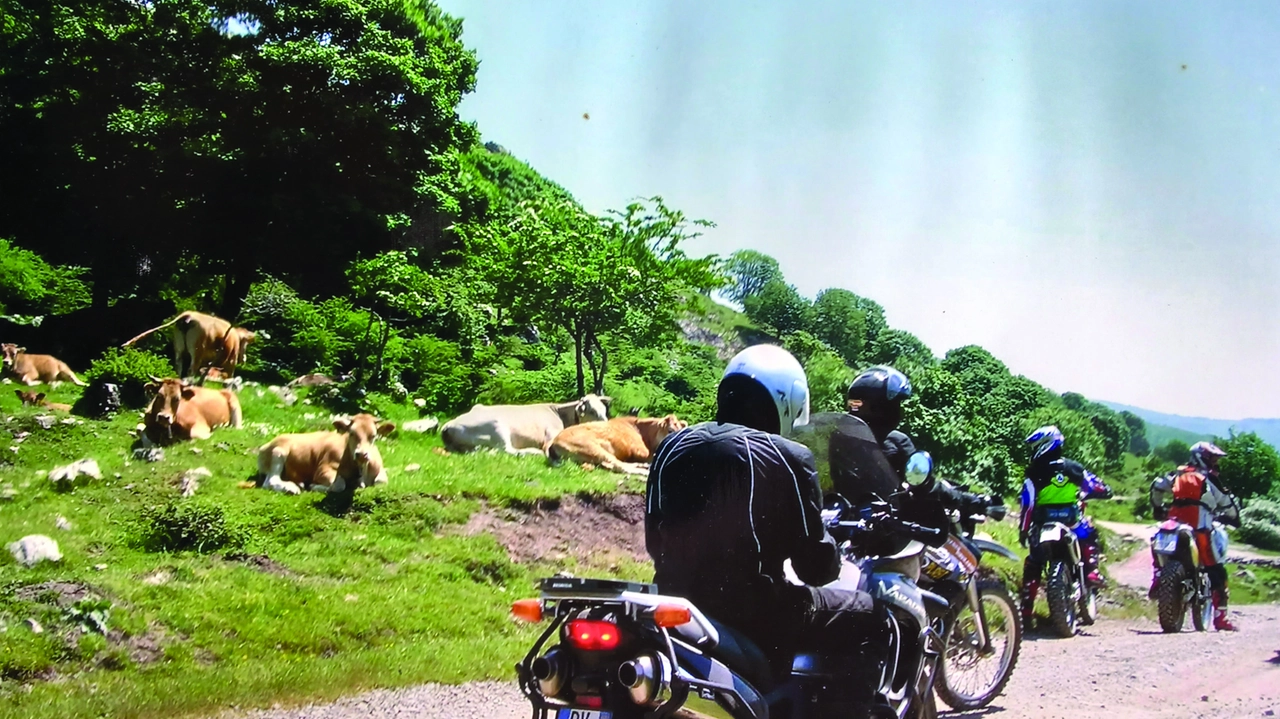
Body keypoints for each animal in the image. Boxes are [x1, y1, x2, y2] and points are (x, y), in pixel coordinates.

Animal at [122, 309, 257, 378]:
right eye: (245, 344)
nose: (244, 358)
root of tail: (189, 314)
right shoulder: (230, 364)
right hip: (197, 352)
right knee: (190, 370)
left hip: (179, 349)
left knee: (179, 367)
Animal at [249, 411, 389, 496]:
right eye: (351, 433)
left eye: (373, 435)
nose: (361, 454)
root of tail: (266, 445)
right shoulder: (323, 469)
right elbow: (339, 485)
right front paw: (314, 486)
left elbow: (381, 481)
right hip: (279, 452)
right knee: (270, 481)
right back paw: (291, 488)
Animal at [437, 391, 611, 452]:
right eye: (592, 411)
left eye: (604, 410)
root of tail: (448, 425)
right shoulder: (551, 435)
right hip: (496, 426)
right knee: (508, 450)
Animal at [547, 411, 691, 473]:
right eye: (670, 430)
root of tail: (554, 442)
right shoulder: (639, 450)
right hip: (591, 447)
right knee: (619, 466)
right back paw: (644, 471)